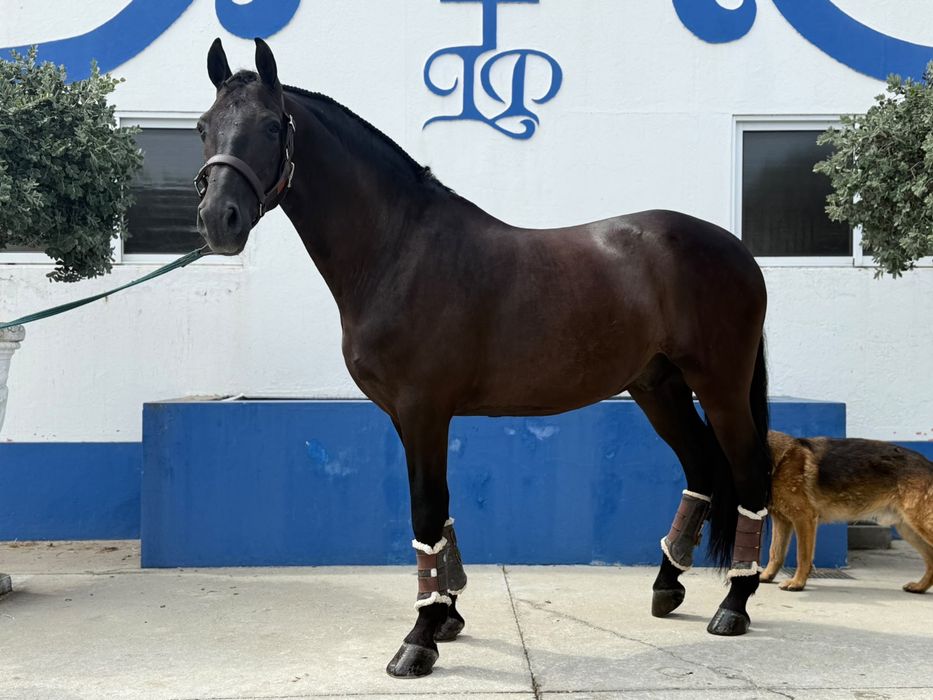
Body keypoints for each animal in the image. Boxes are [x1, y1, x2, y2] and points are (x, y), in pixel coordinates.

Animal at [195, 38, 772, 678]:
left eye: (272, 126)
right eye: (203, 127)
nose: (218, 220)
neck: (398, 251)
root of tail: (737, 250)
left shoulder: (424, 409)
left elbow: (426, 512)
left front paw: (419, 639)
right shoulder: (406, 416)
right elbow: (441, 514)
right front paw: (446, 616)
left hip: (719, 386)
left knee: (749, 471)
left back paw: (734, 604)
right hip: (658, 387)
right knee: (701, 467)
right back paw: (668, 585)